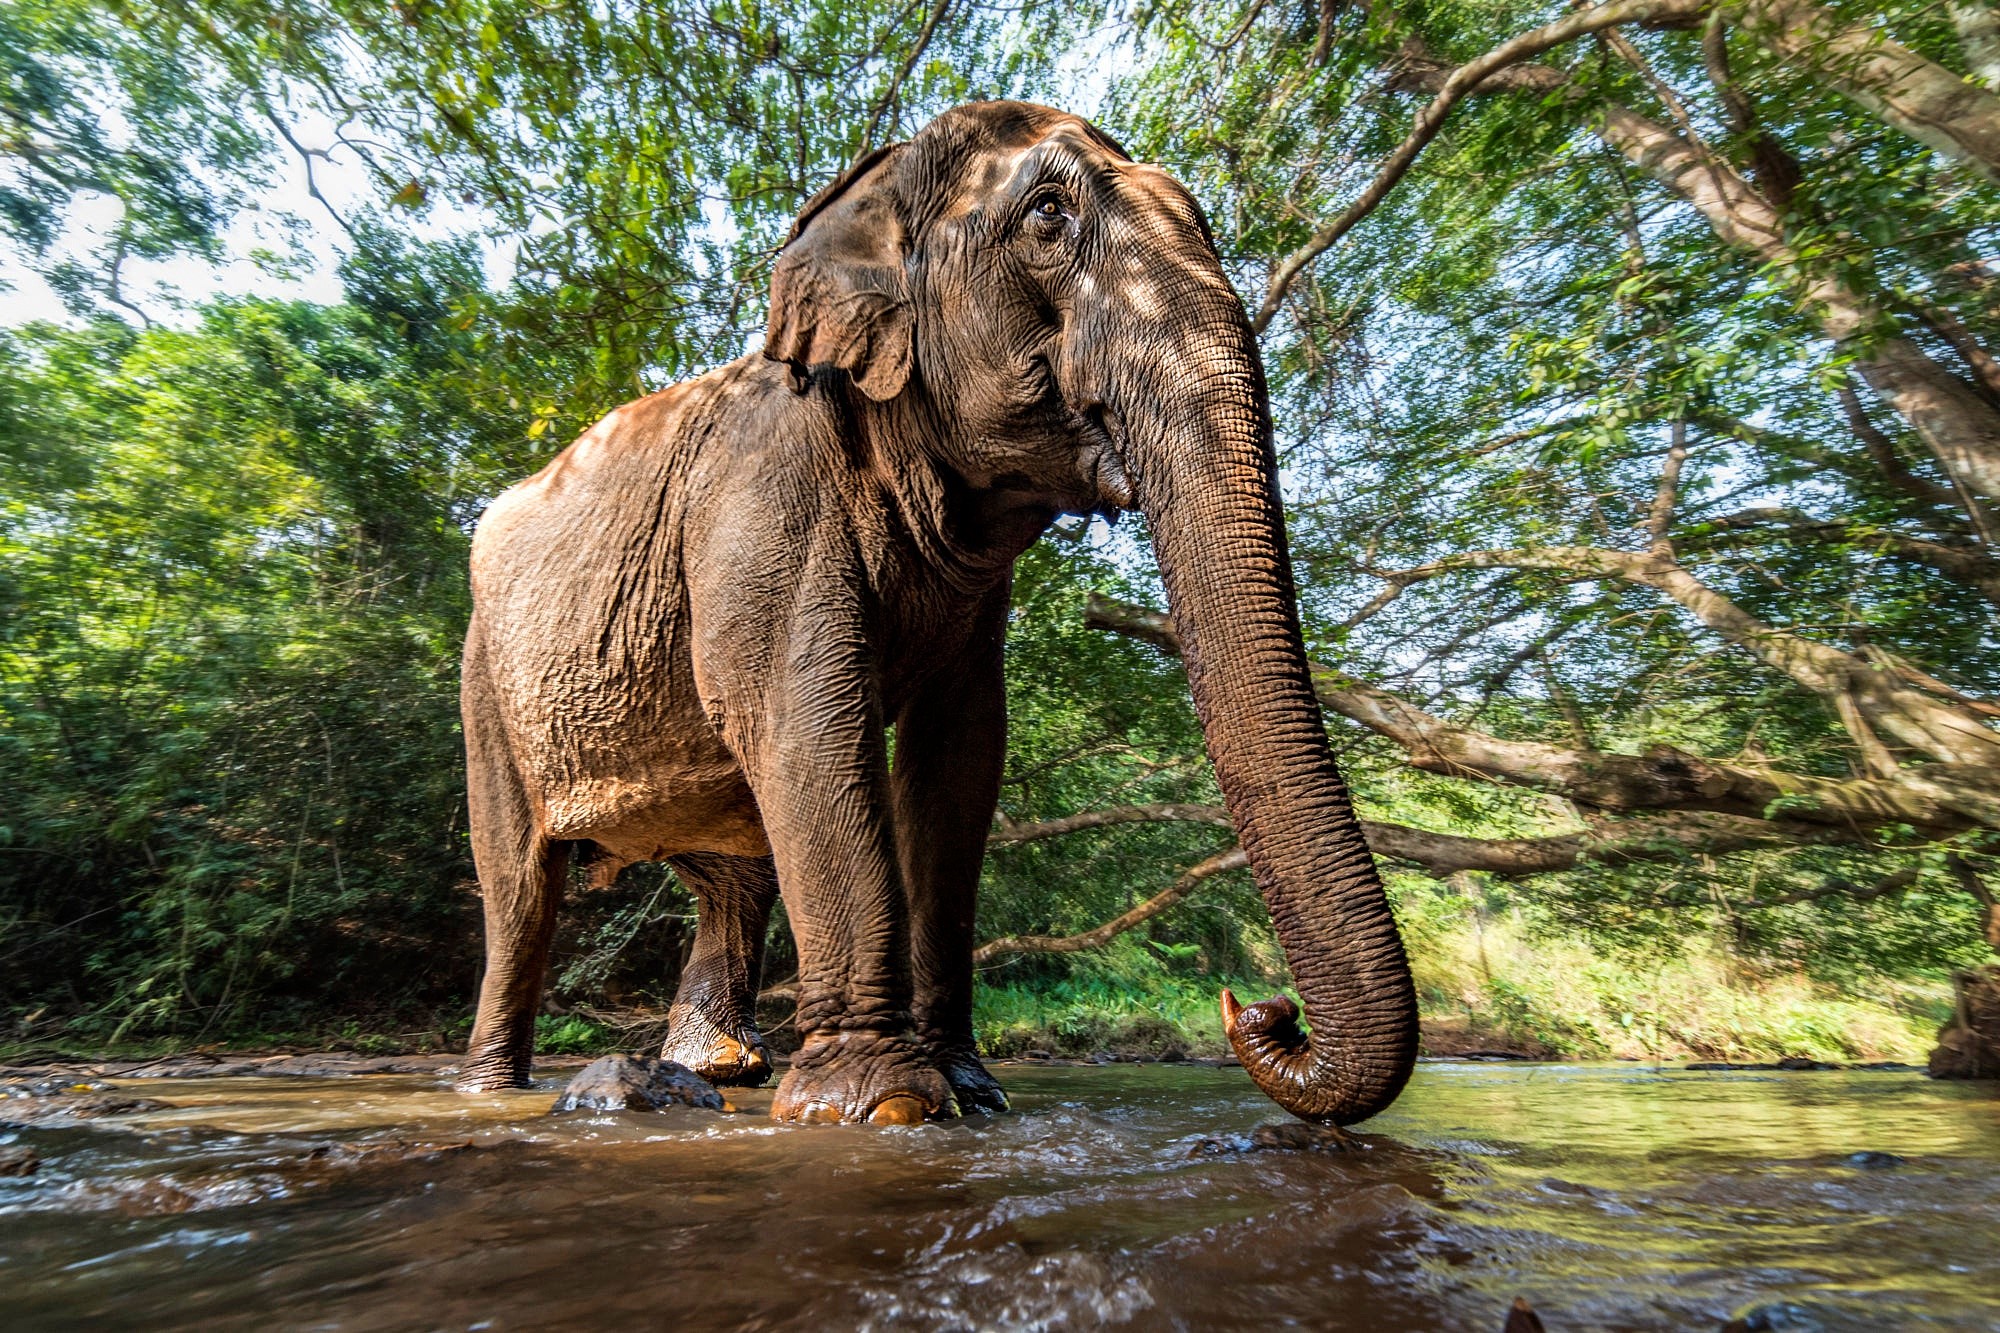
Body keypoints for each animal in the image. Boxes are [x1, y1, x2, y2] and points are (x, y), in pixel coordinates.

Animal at [456, 99, 1419, 1126]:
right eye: (1047, 217)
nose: (1263, 1008)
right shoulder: (763, 495)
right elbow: (797, 719)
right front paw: (882, 1104)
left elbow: (958, 755)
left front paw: (970, 1089)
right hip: (485, 684)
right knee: (518, 882)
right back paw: (492, 1086)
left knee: (735, 870)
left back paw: (715, 1070)